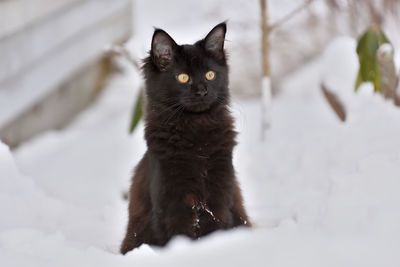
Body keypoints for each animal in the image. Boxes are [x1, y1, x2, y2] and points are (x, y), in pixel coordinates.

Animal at [120, 23, 250, 255]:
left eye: (210, 75)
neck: (196, 132)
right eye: (182, 77)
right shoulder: (172, 201)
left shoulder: (219, 192)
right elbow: (179, 235)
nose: (202, 91)